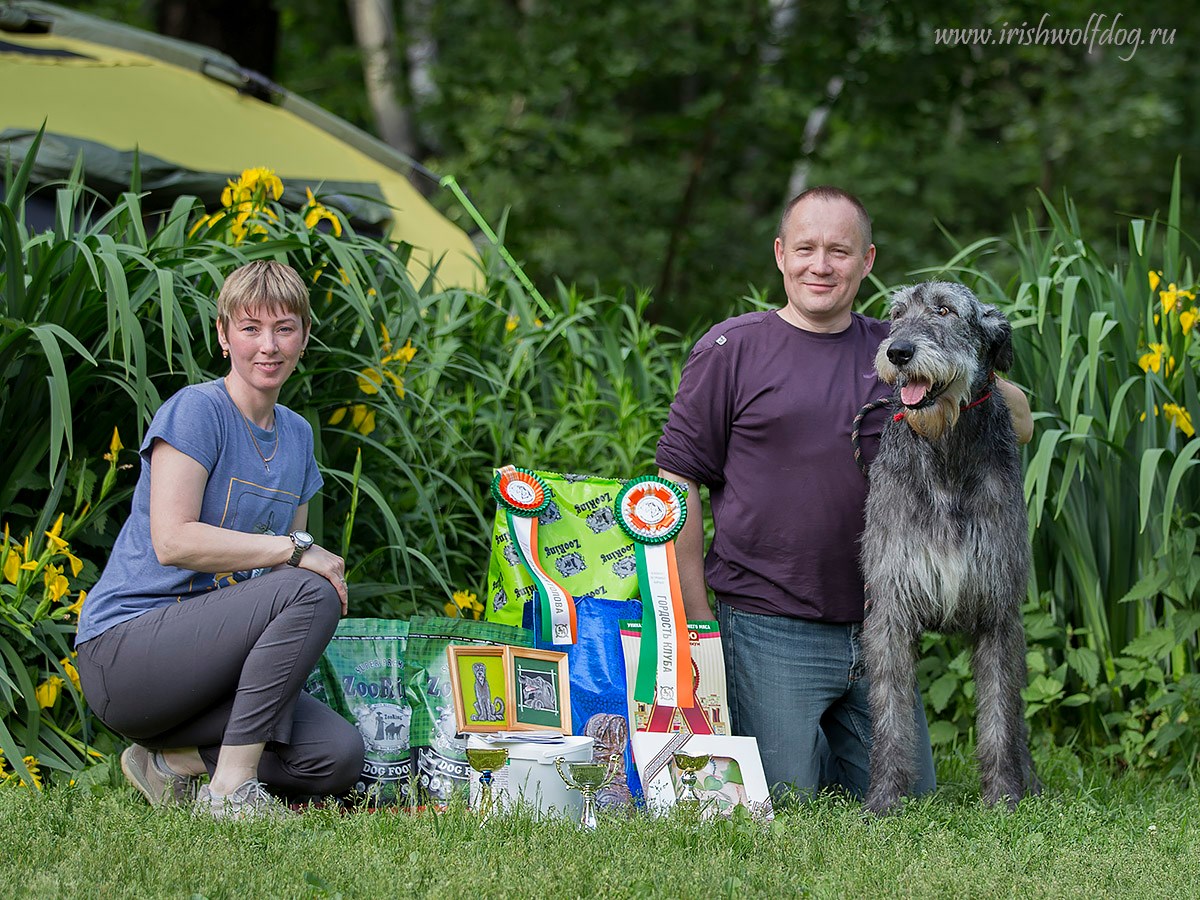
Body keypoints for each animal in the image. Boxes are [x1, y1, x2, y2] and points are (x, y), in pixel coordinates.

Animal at [864, 282, 1041, 816]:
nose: (898, 352)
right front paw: (884, 799)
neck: (945, 449)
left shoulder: (999, 610)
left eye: (944, 310)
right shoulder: (890, 608)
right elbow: (890, 712)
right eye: (897, 314)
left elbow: (1002, 715)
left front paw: (1005, 797)